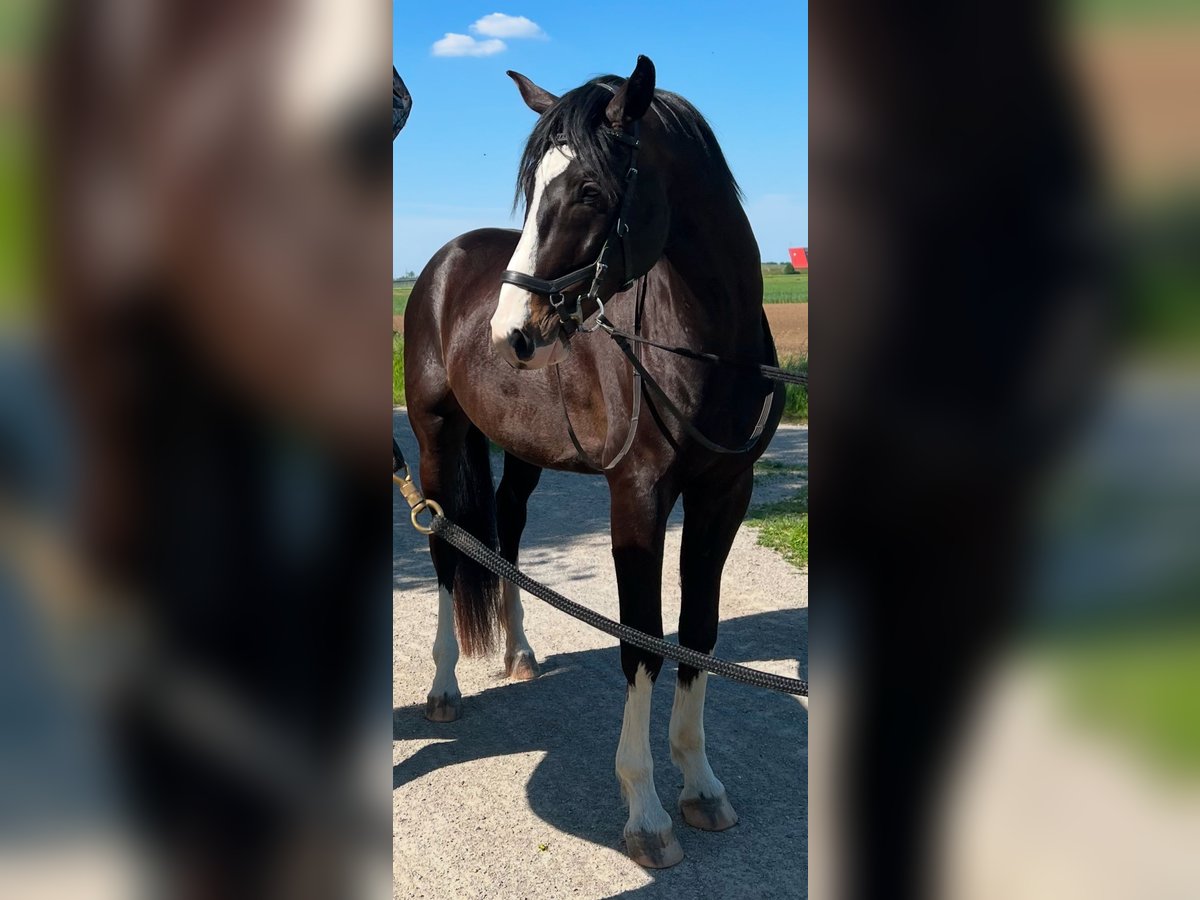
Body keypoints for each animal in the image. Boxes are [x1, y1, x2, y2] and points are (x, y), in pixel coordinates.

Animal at [403, 58, 787, 873]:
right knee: (448, 551)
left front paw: (702, 787)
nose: (510, 331)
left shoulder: (724, 495)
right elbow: (640, 642)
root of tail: (442, 262)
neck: (703, 347)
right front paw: (645, 813)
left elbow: (696, 633)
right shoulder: (637, 500)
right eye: (532, 189)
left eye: (587, 190)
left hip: (520, 452)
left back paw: (519, 652)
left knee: (508, 535)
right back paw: (445, 686)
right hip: (435, 437)